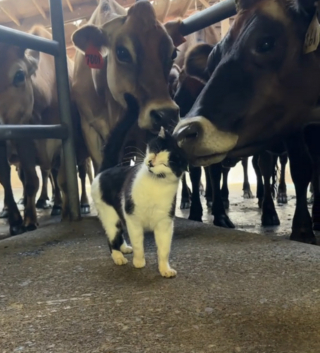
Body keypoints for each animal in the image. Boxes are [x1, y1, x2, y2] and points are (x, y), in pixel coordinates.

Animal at [90, 111, 188, 276]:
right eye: (155, 149)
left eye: (165, 163)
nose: (151, 163)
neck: (155, 185)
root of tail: (104, 172)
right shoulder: (133, 218)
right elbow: (138, 243)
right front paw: (139, 262)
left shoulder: (164, 223)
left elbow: (164, 249)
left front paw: (164, 269)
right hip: (109, 215)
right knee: (111, 238)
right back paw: (118, 257)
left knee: (118, 235)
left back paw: (124, 248)